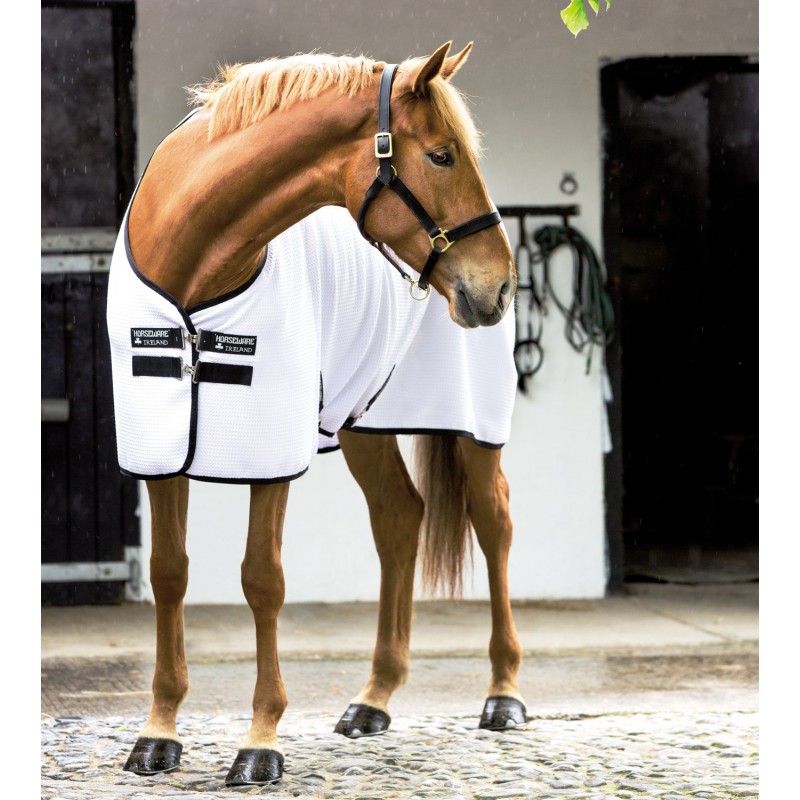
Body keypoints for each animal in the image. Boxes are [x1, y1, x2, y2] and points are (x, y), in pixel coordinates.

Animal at [110, 42, 525, 785]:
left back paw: (503, 693)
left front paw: (260, 742)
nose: (497, 287)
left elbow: (262, 580)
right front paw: (157, 733)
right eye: (442, 154)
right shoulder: (160, 449)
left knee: (494, 524)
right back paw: (374, 699)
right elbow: (168, 573)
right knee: (399, 520)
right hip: (363, 425)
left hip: (475, 429)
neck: (192, 261)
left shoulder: (269, 450)